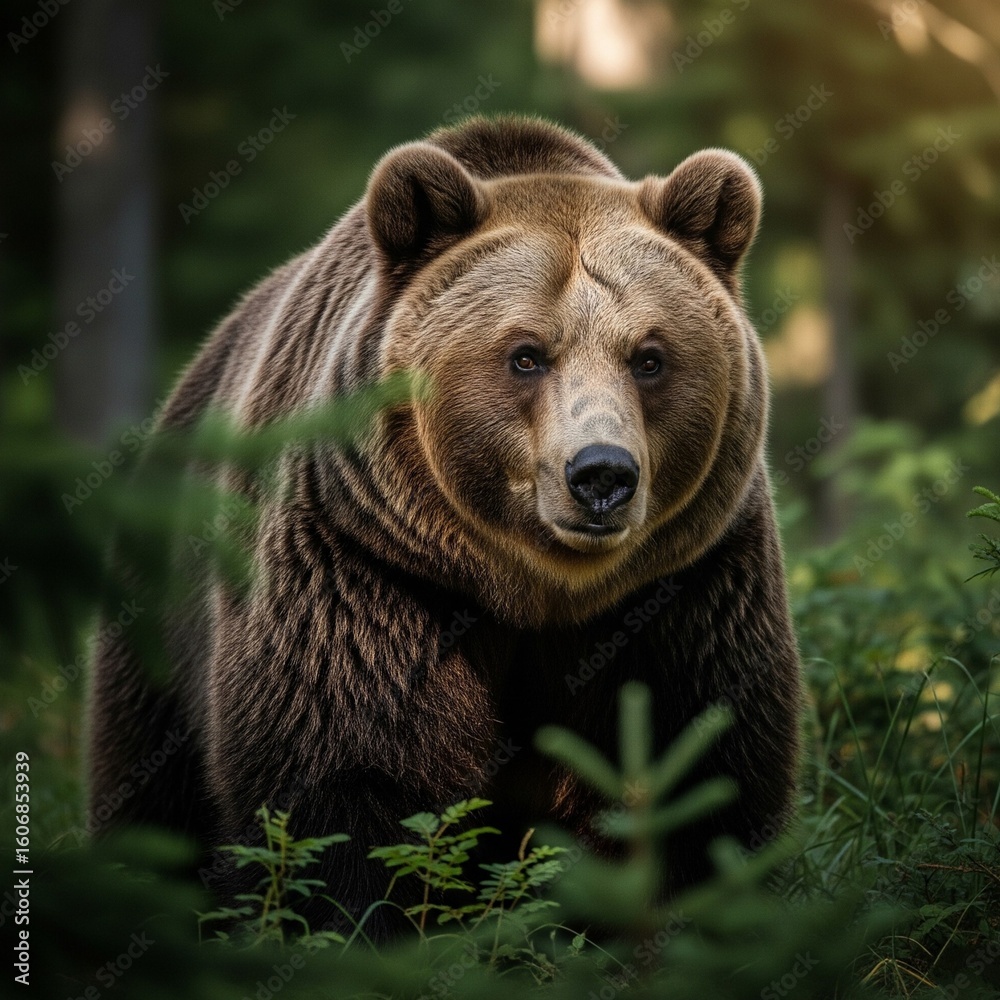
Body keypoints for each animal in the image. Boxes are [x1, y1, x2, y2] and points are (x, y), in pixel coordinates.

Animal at [87, 115, 801, 933]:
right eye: (526, 354)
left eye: (649, 356)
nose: (601, 475)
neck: (536, 591)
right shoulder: (366, 570)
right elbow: (346, 787)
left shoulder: (686, 586)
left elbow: (705, 779)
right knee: (152, 796)